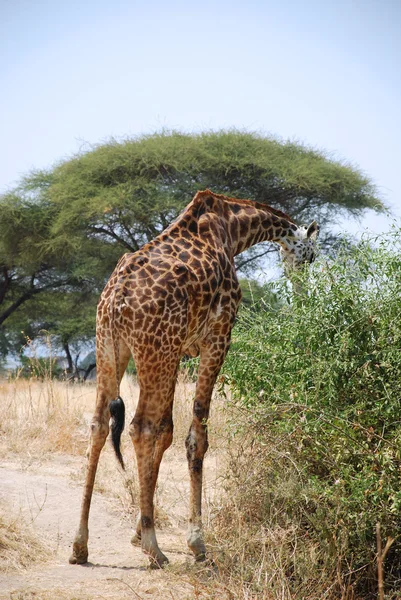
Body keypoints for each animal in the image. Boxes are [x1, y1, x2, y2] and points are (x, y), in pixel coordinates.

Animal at [69, 188, 318, 568]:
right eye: (312, 256)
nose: (302, 292)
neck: (233, 228)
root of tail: (116, 298)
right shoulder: (218, 335)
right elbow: (194, 435)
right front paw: (195, 542)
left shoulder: (179, 349)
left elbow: (168, 431)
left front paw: (137, 531)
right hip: (154, 349)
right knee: (140, 427)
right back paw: (155, 550)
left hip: (111, 348)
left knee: (99, 425)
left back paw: (80, 546)